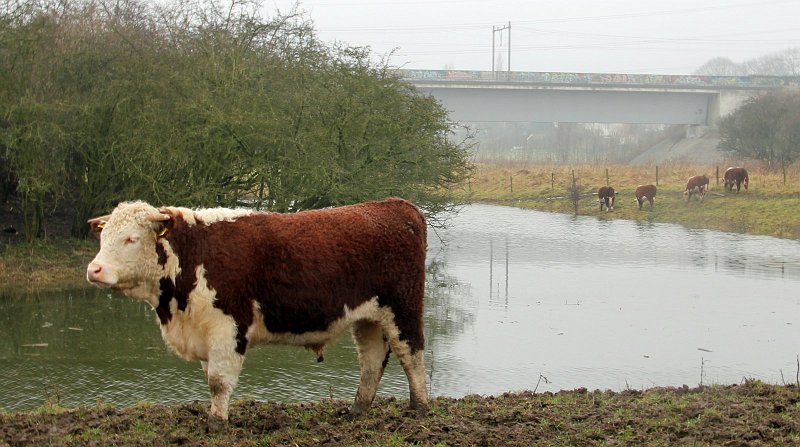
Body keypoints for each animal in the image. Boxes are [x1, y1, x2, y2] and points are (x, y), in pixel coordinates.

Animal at [87, 199, 432, 428]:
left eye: (131, 239)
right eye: (103, 237)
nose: (94, 269)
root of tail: (393, 205)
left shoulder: (227, 327)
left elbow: (218, 381)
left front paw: (216, 423)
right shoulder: (204, 331)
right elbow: (210, 377)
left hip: (403, 307)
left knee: (411, 353)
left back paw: (420, 408)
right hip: (367, 317)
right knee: (372, 359)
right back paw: (357, 411)